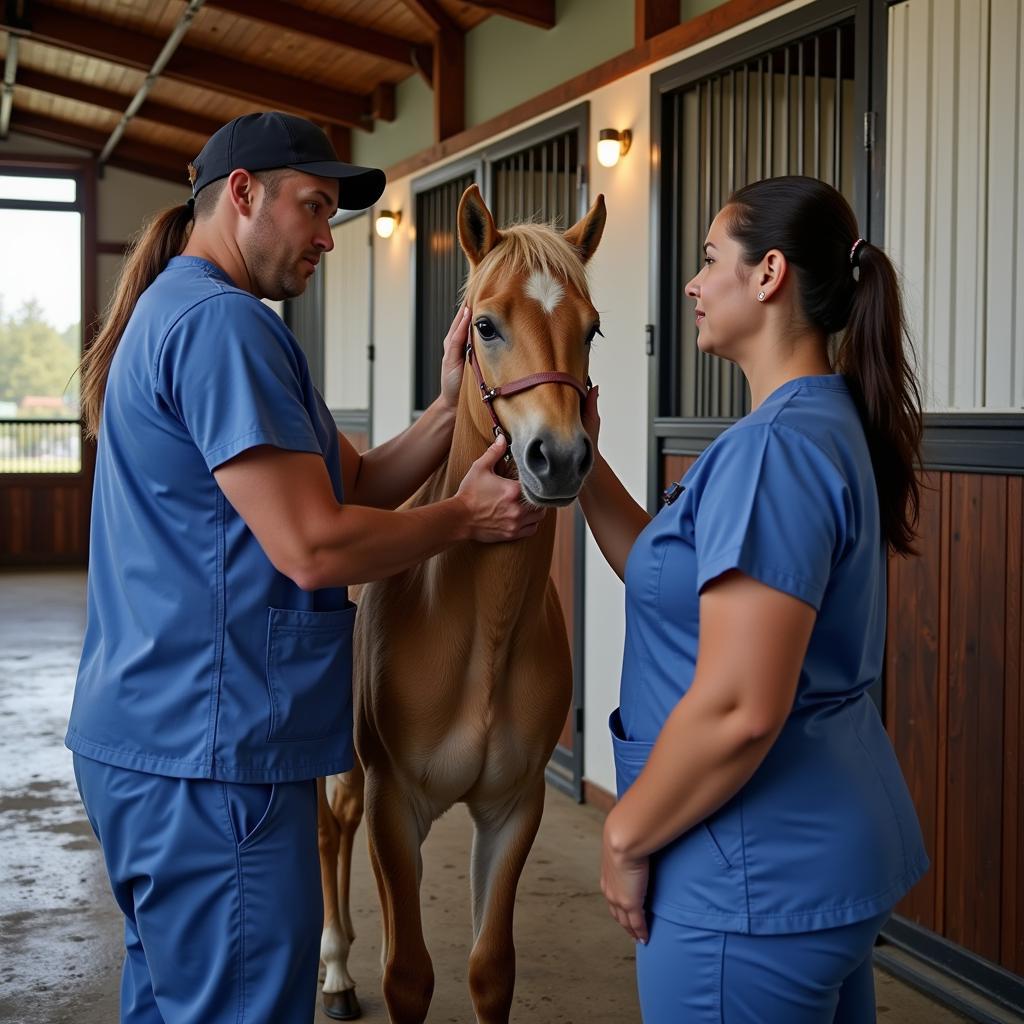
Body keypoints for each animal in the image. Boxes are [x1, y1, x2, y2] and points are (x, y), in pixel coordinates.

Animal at [319, 186, 602, 1024]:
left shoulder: (512, 808)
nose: (559, 457)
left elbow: (489, 968)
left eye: (592, 329)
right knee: (330, 829)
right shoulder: (394, 807)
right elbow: (408, 973)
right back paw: (335, 972)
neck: (481, 633)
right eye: (486, 325)